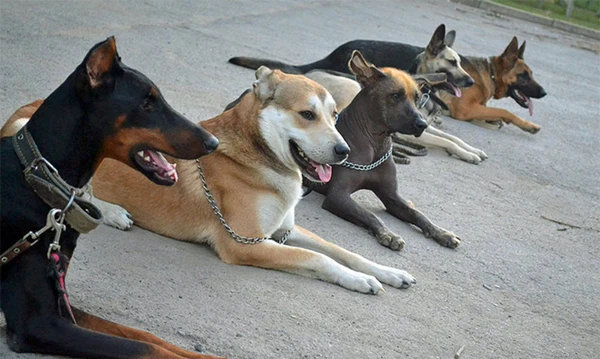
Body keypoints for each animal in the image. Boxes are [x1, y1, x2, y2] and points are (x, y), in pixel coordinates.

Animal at [0, 37, 225, 359]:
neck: (38, 179)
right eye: (146, 103)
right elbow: (147, 348)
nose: (213, 143)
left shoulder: (60, 299)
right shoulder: (36, 323)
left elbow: (146, 335)